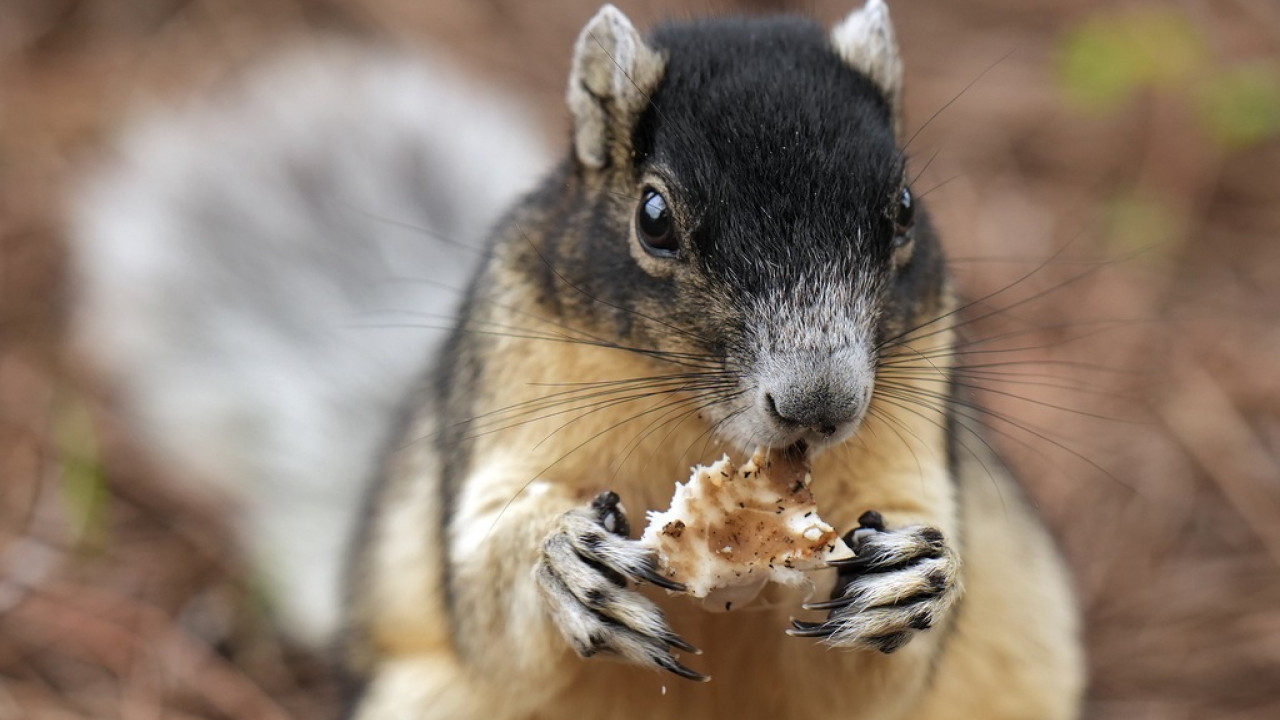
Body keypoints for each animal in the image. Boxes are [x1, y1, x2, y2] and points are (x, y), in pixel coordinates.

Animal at [70, 1, 1085, 717]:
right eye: (654, 216)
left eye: (906, 209)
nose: (818, 405)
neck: (694, 423)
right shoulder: (502, 389)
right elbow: (485, 584)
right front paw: (561, 562)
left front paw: (912, 580)